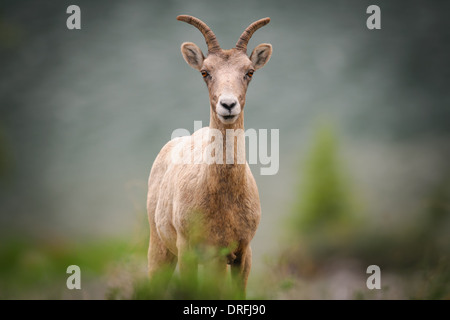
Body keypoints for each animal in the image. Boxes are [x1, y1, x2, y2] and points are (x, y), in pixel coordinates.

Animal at [148, 15, 272, 298]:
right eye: (205, 72)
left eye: (249, 72)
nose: (227, 105)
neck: (223, 204)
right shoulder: (188, 253)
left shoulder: (241, 253)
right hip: (159, 248)